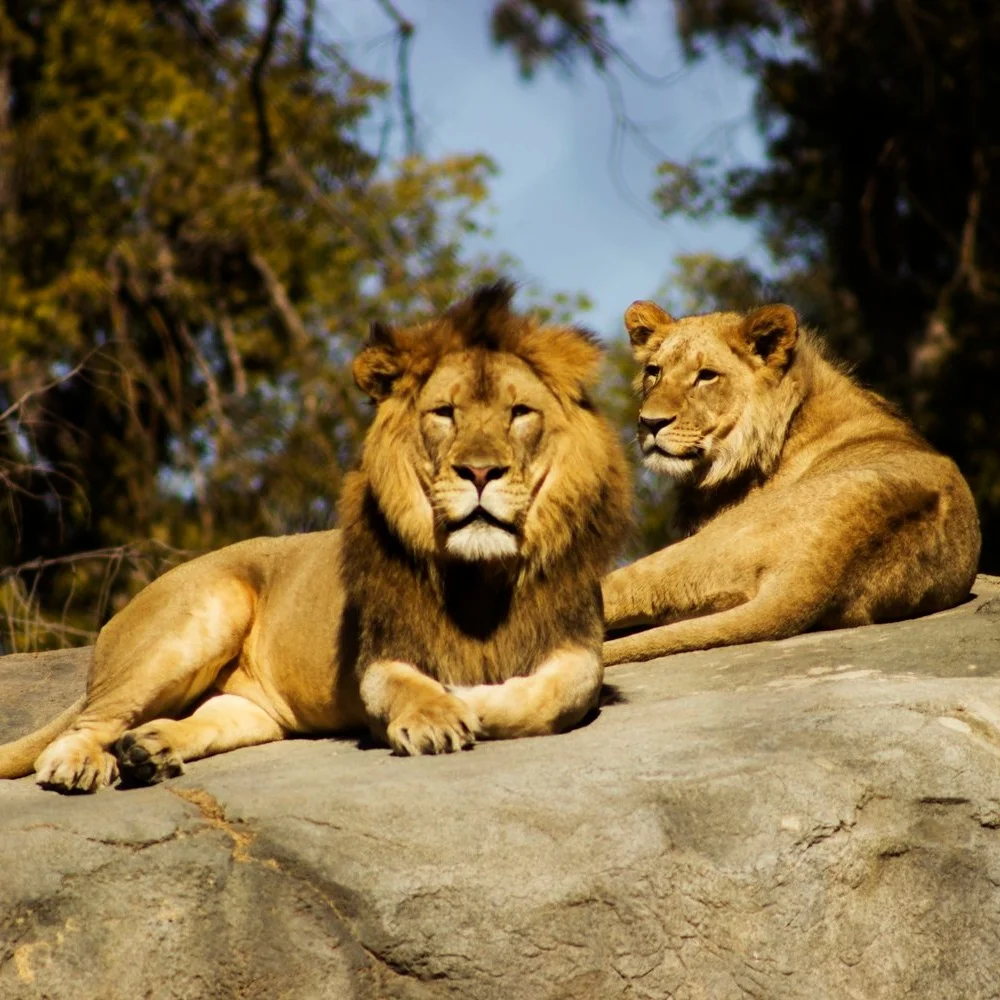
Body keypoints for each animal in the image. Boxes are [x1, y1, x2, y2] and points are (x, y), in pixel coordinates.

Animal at [0, 282, 630, 793]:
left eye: (519, 412)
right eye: (444, 413)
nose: (479, 472)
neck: (482, 572)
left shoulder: (576, 645)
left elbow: (554, 696)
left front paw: (469, 697)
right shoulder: (381, 656)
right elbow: (408, 686)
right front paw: (439, 713)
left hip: (249, 710)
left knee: (201, 718)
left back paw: (147, 750)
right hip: (201, 615)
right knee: (88, 723)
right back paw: (80, 763)